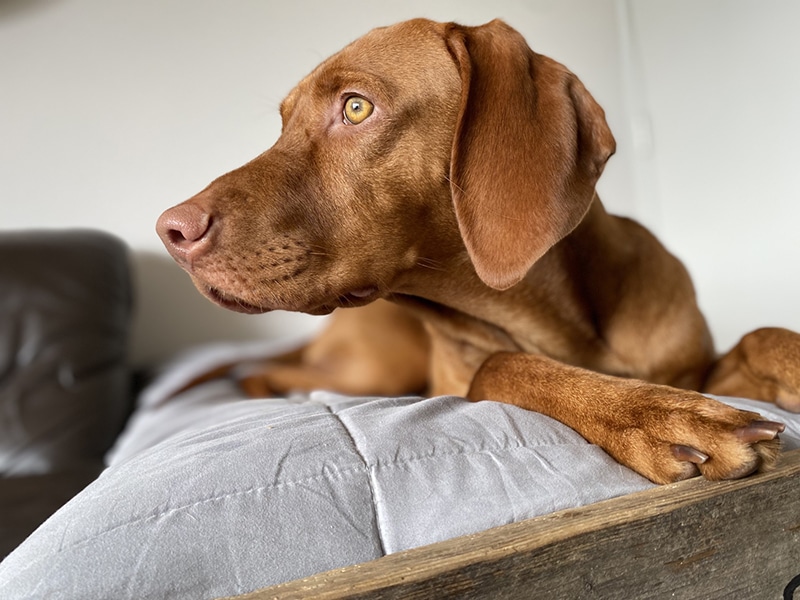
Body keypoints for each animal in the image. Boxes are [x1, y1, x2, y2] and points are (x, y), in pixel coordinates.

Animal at [158, 18, 800, 486]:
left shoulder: (698, 365)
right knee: (268, 368)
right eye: (282, 126)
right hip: (373, 366)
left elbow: (760, 335)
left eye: (356, 106)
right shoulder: (468, 378)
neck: (570, 323)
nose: (171, 231)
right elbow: (504, 364)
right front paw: (657, 413)